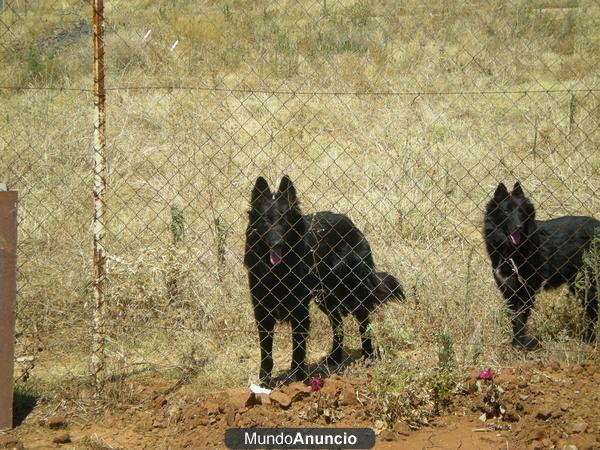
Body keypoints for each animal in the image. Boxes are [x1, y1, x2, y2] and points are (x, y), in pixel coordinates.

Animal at [243, 176, 404, 386]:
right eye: (265, 221)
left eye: (284, 221)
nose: (276, 244)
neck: (279, 271)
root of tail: (351, 224)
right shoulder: (263, 313)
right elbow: (267, 355)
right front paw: (264, 383)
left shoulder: (300, 313)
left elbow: (298, 352)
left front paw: (298, 381)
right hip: (325, 297)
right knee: (338, 324)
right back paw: (335, 357)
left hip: (351, 291)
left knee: (364, 321)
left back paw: (367, 356)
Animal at [486, 181, 596, 350]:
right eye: (506, 211)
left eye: (522, 212)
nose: (518, 227)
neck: (511, 250)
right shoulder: (508, 291)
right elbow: (514, 320)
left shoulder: (526, 291)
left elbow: (520, 320)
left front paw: (518, 346)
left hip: (586, 284)